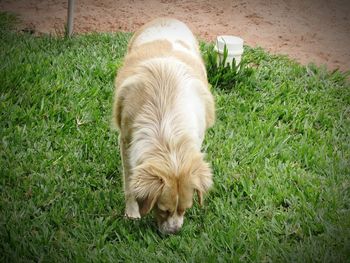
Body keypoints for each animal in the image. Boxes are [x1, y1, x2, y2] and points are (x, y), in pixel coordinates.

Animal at [113, 18, 215, 235]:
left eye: (186, 209)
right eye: (162, 210)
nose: (174, 232)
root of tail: (167, 19)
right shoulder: (126, 140)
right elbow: (129, 180)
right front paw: (132, 214)